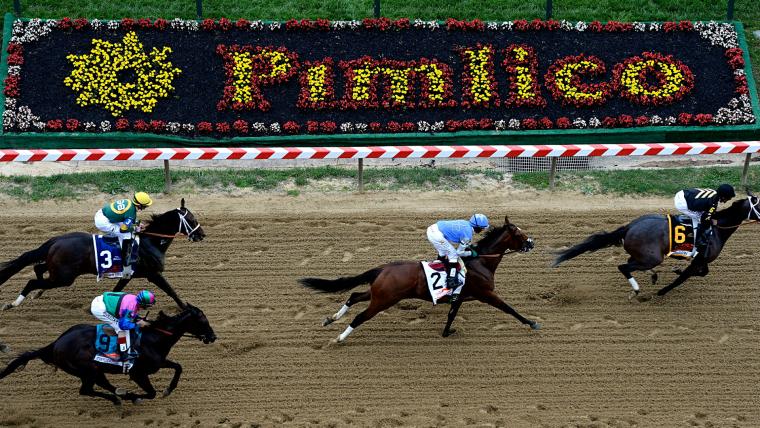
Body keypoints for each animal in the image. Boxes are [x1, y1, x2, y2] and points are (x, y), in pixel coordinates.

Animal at [0, 199, 205, 310]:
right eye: (192, 219)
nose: (202, 235)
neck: (151, 241)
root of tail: (56, 240)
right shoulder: (153, 274)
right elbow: (171, 291)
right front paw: (186, 308)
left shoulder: (128, 275)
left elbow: (117, 289)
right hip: (64, 277)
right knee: (32, 281)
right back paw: (13, 303)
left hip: (57, 269)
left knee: (38, 268)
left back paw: (38, 293)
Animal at [0, 300, 215, 404]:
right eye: (203, 320)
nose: (213, 337)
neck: (154, 337)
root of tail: (55, 345)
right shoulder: (139, 373)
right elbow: (152, 393)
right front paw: (139, 396)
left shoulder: (158, 362)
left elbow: (178, 367)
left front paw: (168, 390)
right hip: (88, 369)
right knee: (86, 390)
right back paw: (123, 397)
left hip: (95, 370)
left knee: (102, 385)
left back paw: (122, 394)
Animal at [300, 216, 544, 342]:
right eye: (520, 234)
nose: (531, 243)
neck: (481, 262)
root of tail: (382, 268)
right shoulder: (487, 294)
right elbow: (509, 309)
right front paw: (532, 323)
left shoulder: (459, 297)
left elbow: (451, 315)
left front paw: (446, 332)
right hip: (384, 300)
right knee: (360, 316)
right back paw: (339, 338)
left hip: (378, 293)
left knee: (354, 295)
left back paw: (331, 318)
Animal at [552, 194, 760, 298]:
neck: (717, 229)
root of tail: (629, 227)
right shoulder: (699, 259)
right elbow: (683, 278)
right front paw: (663, 291)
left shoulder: (701, 259)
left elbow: (702, 272)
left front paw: (675, 269)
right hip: (652, 257)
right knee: (623, 266)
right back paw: (637, 290)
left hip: (645, 255)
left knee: (630, 262)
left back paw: (652, 276)